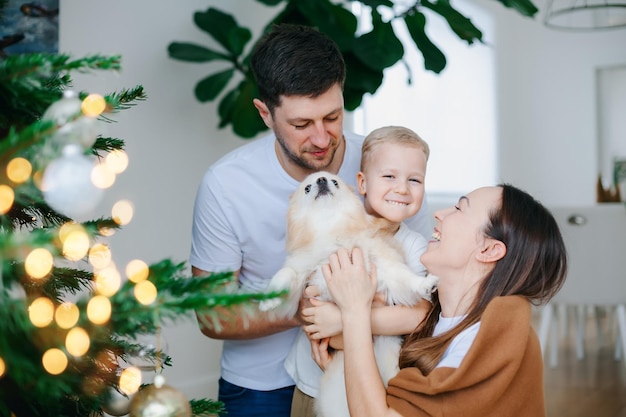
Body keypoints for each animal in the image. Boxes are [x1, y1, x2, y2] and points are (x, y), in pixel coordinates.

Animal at [258, 171, 434, 416]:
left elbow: (403, 276)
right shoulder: (301, 271)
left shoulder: (380, 263)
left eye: (334, 182)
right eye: (307, 188)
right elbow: (284, 275)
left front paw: (424, 284)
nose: (321, 180)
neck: (329, 228)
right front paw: (269, 300)